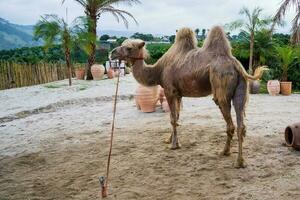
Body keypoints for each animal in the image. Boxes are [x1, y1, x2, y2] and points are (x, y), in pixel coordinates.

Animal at [110, 25, 268, 168]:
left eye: (129, 48)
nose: (112, 53)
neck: (158, 70)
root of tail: (236, 65)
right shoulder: (178, 94)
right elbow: (176, 117)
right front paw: (169, 139)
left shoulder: (169, 91)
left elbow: (172, 118)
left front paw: (174, 145)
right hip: (241, 89)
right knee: (241, 124)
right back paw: (239, 161)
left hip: (221, 86)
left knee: (230, 122)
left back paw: (226, 153)